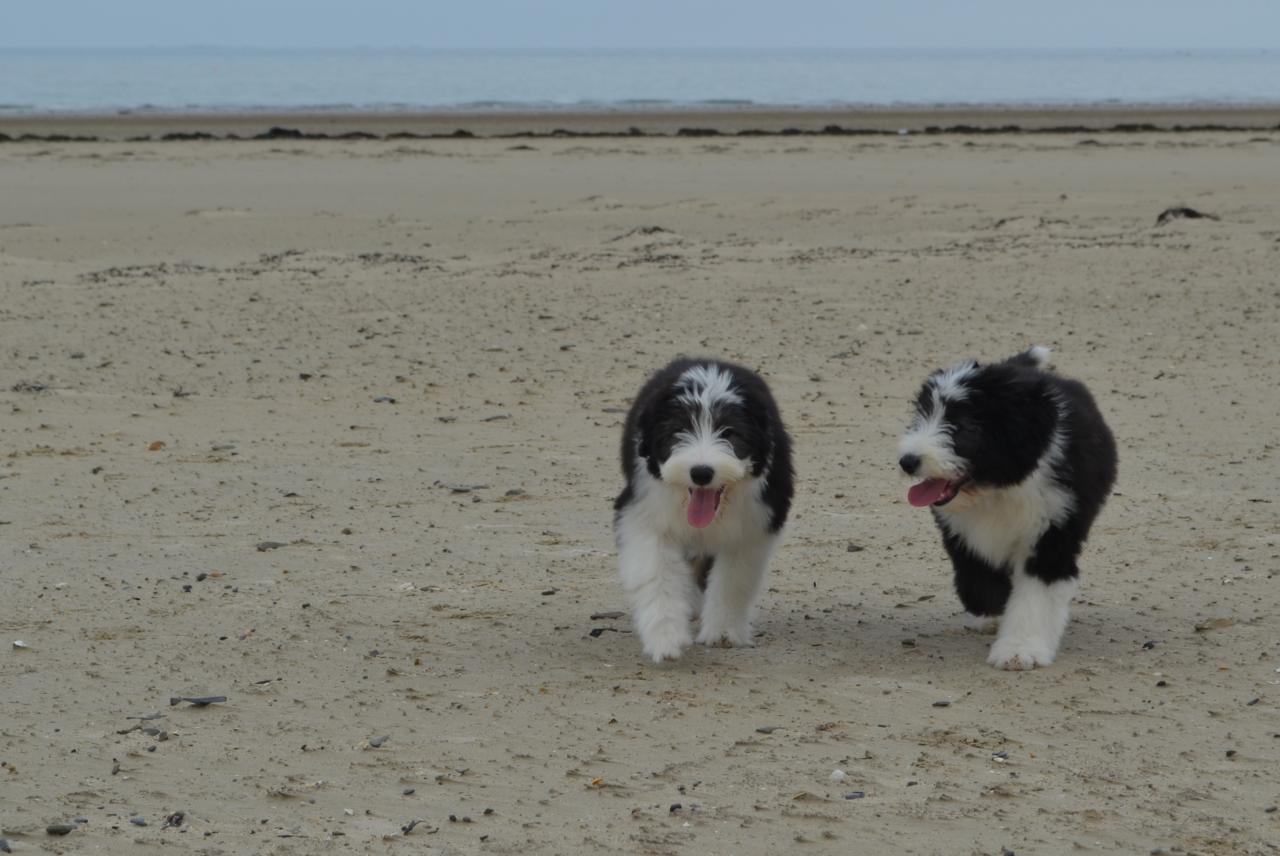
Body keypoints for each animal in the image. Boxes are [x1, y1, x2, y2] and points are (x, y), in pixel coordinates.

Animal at [614, 358, 793, 665]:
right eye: (678, 431)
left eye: (730, 432)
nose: (701, 472)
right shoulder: (643, 515)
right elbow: (658, 574)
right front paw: (666, 638)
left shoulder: (754, 525)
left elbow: (733, 580)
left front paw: (723, 632)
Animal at [896, 345, 1116, 665]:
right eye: (923, 415)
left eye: (964, 427)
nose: (908, 461)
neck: (997, 489)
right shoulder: (962, 534)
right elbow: (979, 577)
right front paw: (991, 613)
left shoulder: (1053, 533)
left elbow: (1036, 595)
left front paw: (1020, 649)